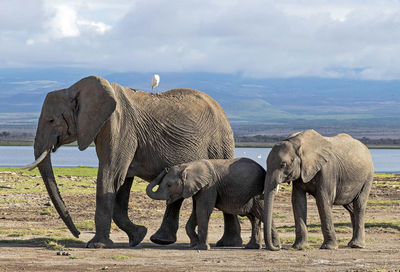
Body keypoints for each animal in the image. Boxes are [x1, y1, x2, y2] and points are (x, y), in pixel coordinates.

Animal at [25, 75, 244, 248]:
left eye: (51, 120)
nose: (77, 234)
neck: (75, 88)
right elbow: (121, 184)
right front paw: (138, 236)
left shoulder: (120, 127)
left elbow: (111, 176)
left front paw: (96, 245)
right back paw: (162, 240)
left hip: (219, 144)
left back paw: (227, 244)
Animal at [145, 157, 280, 251]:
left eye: (169, 185)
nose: (165, 168)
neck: (189, 165)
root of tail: (264, 170)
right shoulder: (199, 188)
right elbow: (196, 212)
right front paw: (194, 245)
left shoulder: (209, 186)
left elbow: (203, 210)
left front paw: (202, 248)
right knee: (254, 218)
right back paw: (253, 247)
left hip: (256, 192)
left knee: (261, 213)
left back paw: (275, 246)